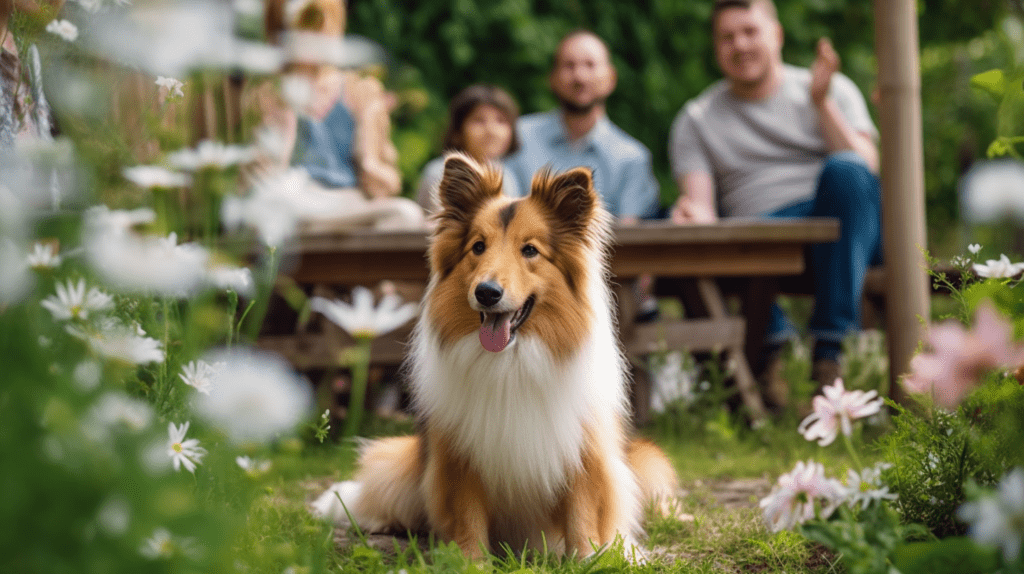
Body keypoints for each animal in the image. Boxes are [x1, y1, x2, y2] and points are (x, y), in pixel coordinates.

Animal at [311, 154, 679, 556]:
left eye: (530, 250)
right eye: (478, 247)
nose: (487, 293)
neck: (511, 361)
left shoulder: (585, 451)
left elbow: (582, 511)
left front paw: (591, 557)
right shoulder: (460, 457)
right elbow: (468, 515)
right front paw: (470, 560)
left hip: (648, 463)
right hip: (400, 462)